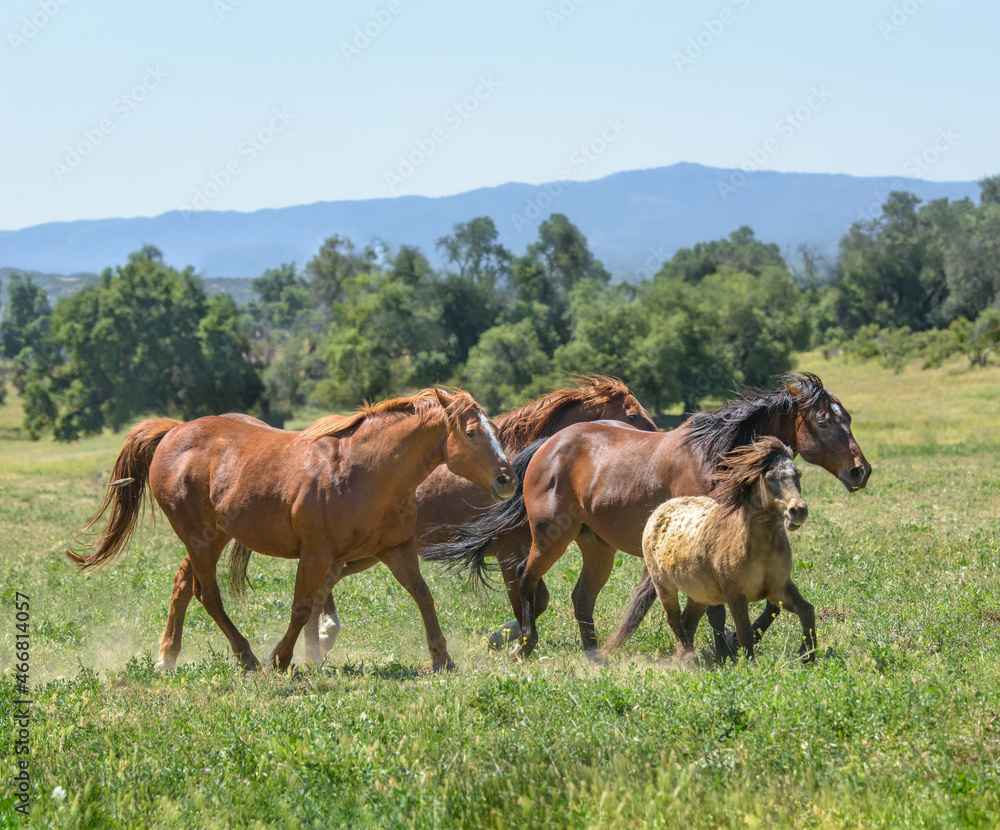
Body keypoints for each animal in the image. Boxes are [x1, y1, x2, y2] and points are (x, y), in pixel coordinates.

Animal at [68, 392, 516, 676]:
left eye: (494, 429)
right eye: (471, 433)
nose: (507, 479)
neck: (364, 473)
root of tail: (175, 431)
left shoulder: (395, 550)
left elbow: (423, 596)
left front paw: (442, 657)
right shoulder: (316, 554)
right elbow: (302, 607)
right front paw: (282, 659)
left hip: (215, 536)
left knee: (182, 584)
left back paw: (167, 658)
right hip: (199, 537)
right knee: (207, 594)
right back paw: (246, 656)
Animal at [230, 376, 660, 664]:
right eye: (633, 414)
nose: (661, 440)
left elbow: (536, 601)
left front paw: (500, 639)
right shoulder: (512, 553)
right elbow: (531, 600)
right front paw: (503, 639)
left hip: (366, 553)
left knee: (323, 587)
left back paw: (317, 642)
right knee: (321, 588)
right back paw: (317, 640)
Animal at [426, 376, 872, 664]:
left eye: (848, 417)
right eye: (823, 421)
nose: (860, 471)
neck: (715, 457)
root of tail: (547, 446)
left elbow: (765, 604)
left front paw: (731, 643)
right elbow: (714, 608)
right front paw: (723, 650)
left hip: (596, 547)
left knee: (580, 597)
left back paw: (594, 655)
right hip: (550, 537)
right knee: (526, 578)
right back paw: (526, 645)